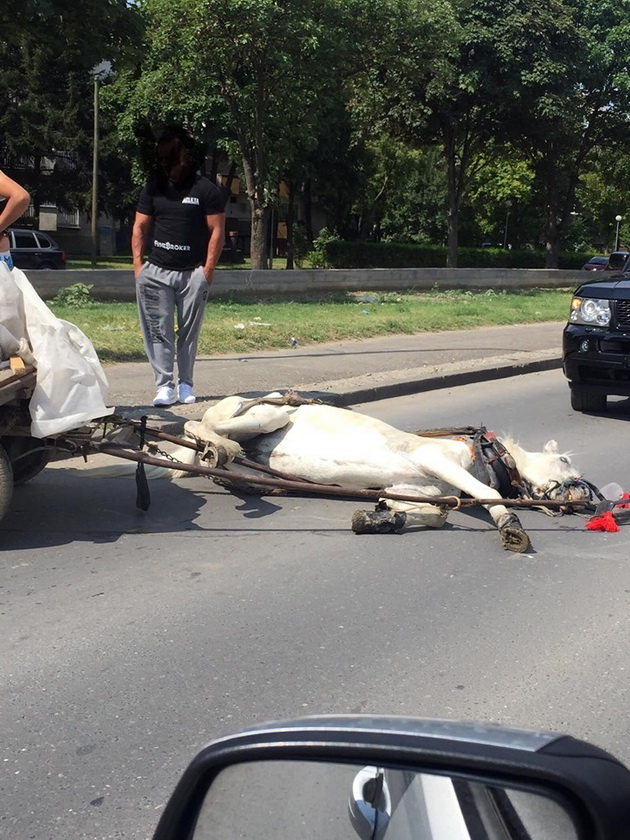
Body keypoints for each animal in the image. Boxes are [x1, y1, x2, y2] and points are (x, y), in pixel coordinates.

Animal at [173, 392, 596, 556]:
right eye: (564, 461)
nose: (588, 498)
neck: (485, 455)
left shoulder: (409, 488)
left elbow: (435, 514)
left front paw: (380, 517)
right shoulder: (435, 458)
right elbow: (486, 495)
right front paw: (510, 524)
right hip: (268, 415)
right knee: (197, 429)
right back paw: (214, 446)